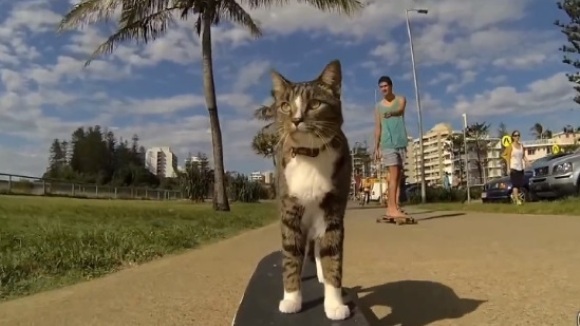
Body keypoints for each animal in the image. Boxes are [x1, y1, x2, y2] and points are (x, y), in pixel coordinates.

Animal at [270, 59, 354, 320]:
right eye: (285, 105)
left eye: (315, 103)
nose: (296, 119)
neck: (310, 156)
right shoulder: (290, 210)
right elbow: (290, 255)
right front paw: (291, 299)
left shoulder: (333, 211)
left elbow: (332, 258)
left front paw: (334, 304)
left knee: (318, 248)